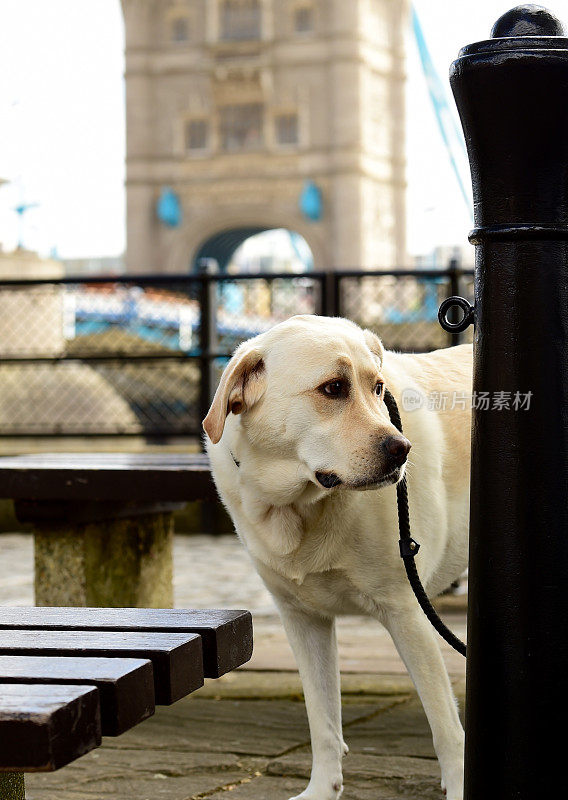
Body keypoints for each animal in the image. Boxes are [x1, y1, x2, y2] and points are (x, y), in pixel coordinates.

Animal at [203, 316, 470, 796]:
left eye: (377, 388)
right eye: (333, 388)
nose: (402, 450)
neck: (299, 506)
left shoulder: (408, 611)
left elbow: (445, 726)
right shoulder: (302, 620)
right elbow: (323, 722)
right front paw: (322, 789)